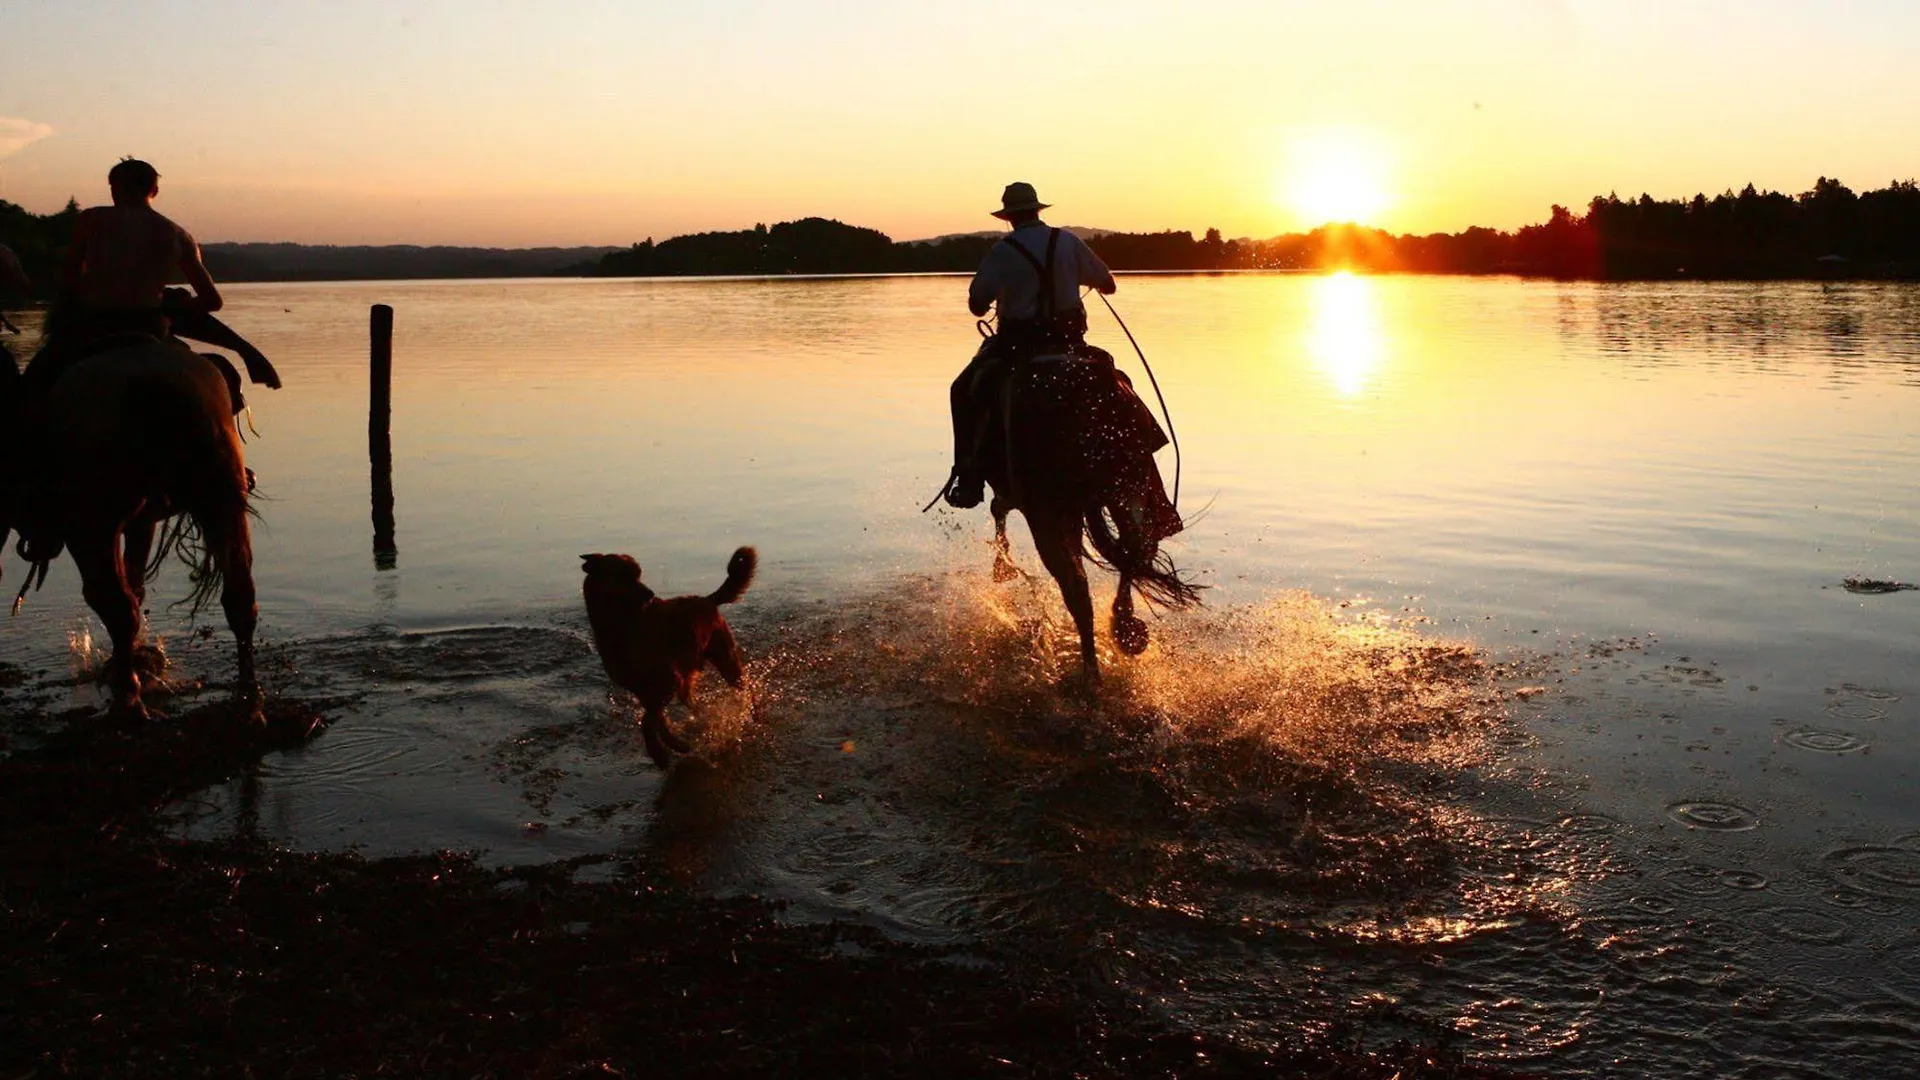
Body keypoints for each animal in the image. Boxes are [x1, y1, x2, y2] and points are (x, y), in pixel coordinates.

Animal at [2, 340, 259, 718]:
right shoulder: (142, 522)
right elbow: (136, 582)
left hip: (91, 526)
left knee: (113, 603)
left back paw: (127, 698)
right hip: (221, 500)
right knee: (239, 595)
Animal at [583, 545, 756, 764]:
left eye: (638, 574)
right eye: (622, 574)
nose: (650, 594)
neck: (624, 627)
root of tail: (707, 600)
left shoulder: (667, 680)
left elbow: (647, 720)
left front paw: (658, 753)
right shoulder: (642, 690)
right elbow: (658, 719)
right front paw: (675, 744)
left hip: (725, 659)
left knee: (746, 686)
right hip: (688, 672)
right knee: (689, 699)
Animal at [983, 349, 1190, 676]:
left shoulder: (1018, 496)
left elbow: (997, 508)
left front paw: (1001, 565)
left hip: (1048, 515)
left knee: (1077, 591)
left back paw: (1092, 667)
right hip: (1132, 488)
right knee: (1137, 549)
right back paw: (1125, 630)